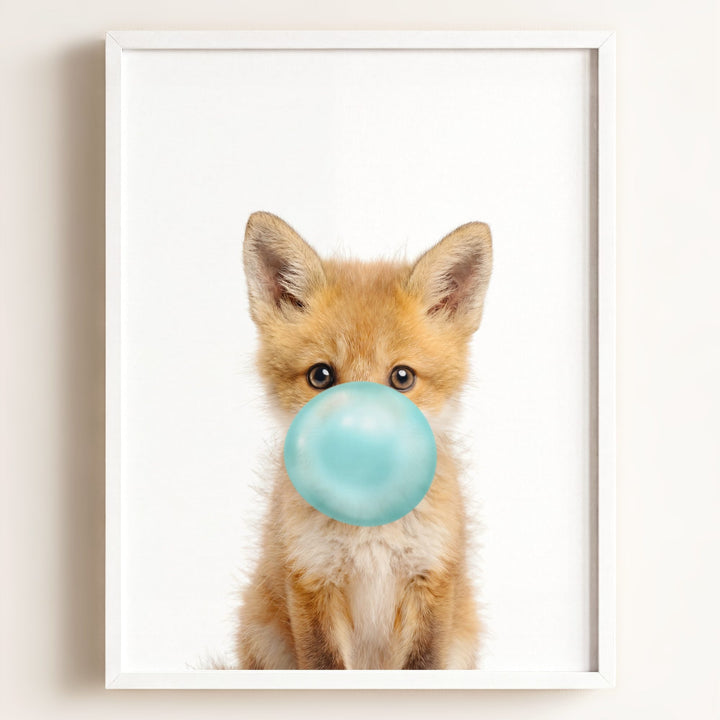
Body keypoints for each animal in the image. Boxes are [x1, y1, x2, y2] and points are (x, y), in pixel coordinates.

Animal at [236, 211, 492, 670]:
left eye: (402, 377)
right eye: (321, 376)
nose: (358, 440)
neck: (369, 529)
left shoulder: (431, 579)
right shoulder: (311, 578)